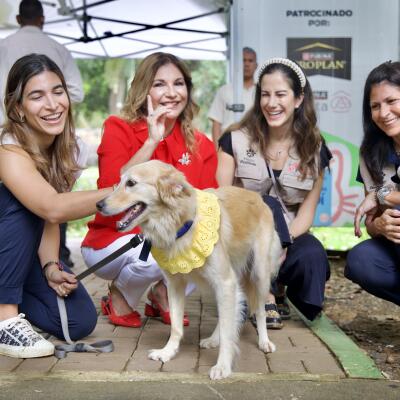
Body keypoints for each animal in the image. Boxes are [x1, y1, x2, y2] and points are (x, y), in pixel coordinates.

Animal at [97, 160, 282, 380]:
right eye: (119, 182)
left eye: (131, 183)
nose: (98, 205)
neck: (179, 223)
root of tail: (258, 198)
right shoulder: (176, 284)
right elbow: (176, 326)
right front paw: (167, 352)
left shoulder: (225, 281)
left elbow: (230, 329)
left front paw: (223, 366)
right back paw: (213, 339)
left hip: (258, 273)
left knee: (259, 310)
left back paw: (264, 341)